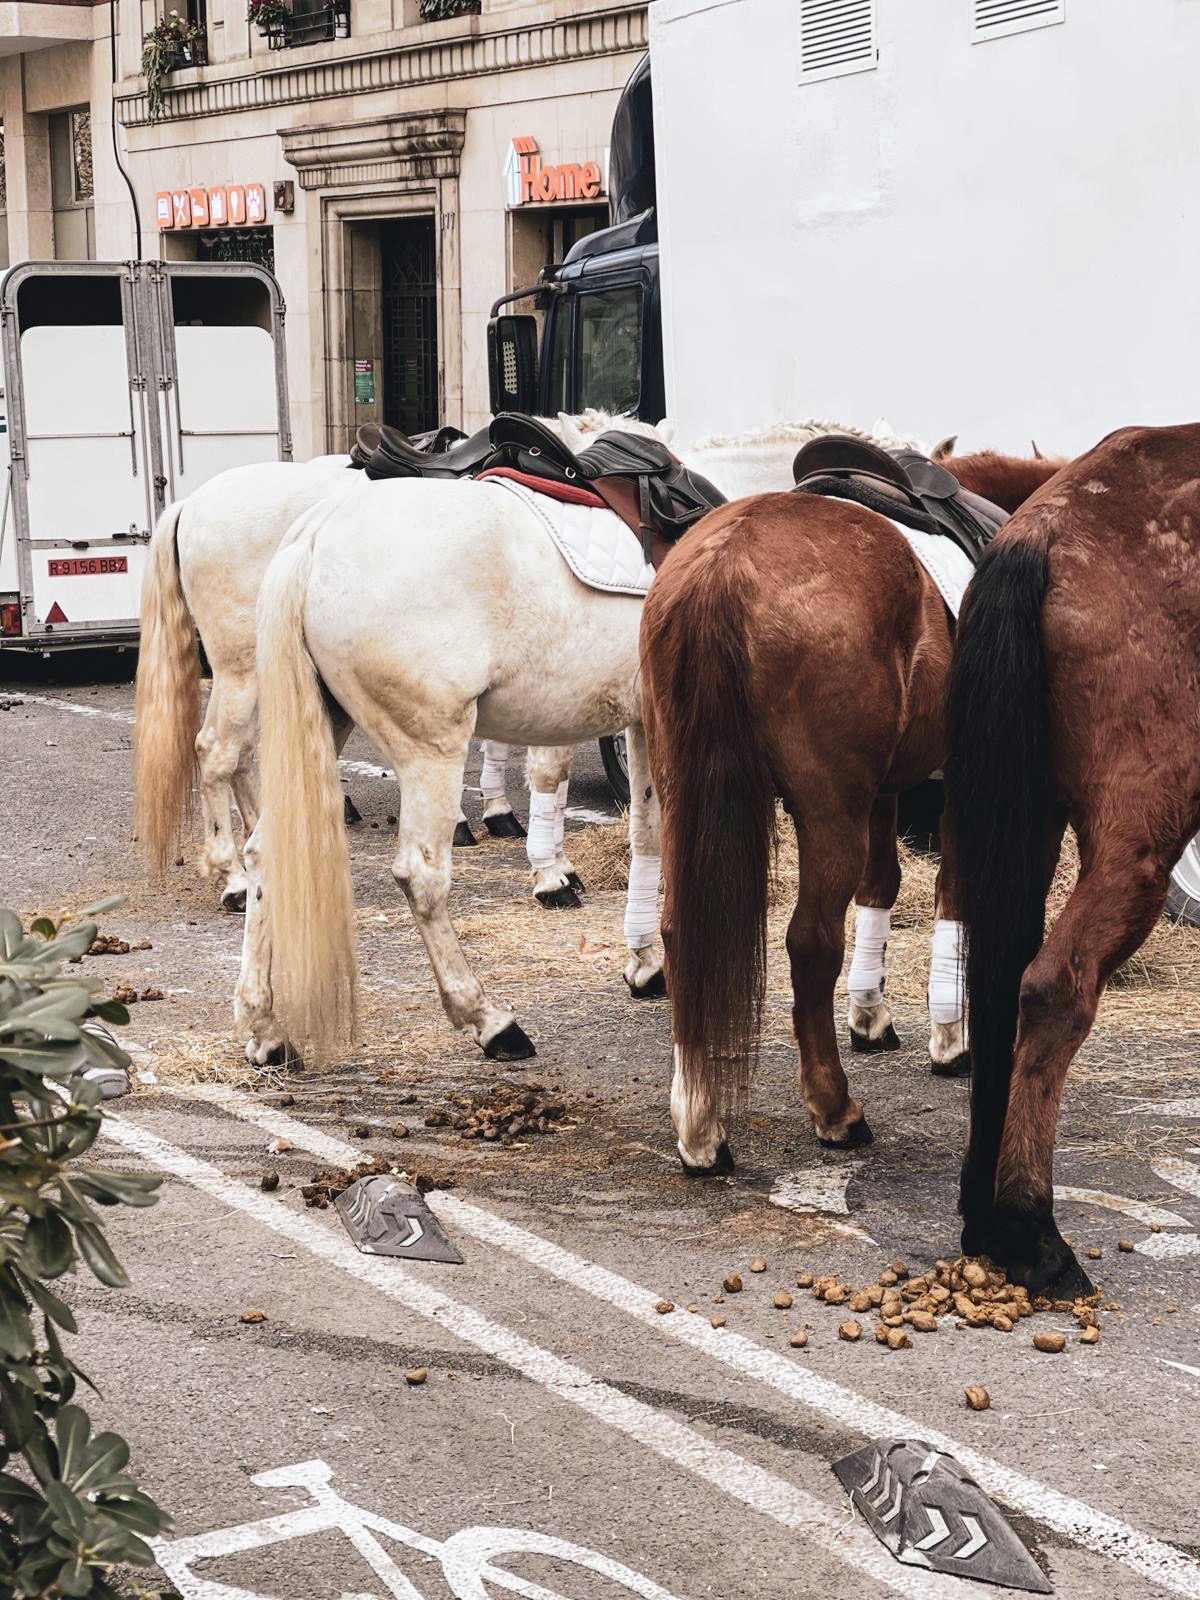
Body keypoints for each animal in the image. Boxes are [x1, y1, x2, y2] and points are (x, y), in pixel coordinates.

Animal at [236, 419, 947, 1068]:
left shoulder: (645, 722)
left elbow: (648, 834)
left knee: (263, 853)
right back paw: (489, 1021)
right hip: (429, 748)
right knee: (423, 877)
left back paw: (263, 1026)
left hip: (327, 727)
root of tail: (317, 534)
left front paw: (647, 963)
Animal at [640, 451, 1062, 1177]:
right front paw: (951, 1035)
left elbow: (883, 885)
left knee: (681, 931)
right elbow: (956, 893)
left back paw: (699, 1124)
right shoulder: (963, 783)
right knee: (810, 942)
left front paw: (871, 1014)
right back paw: (833, 1109)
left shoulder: (886, 789)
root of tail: (726, 564)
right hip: (828, 808)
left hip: (685, 793)